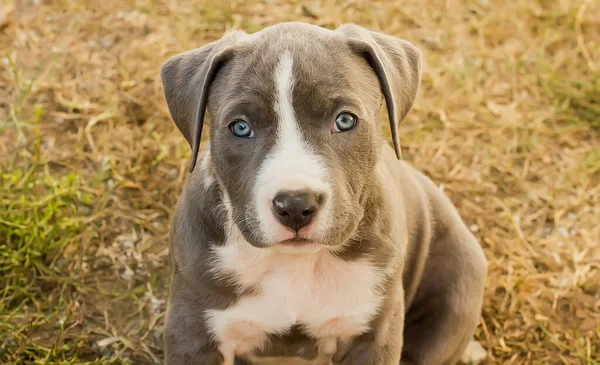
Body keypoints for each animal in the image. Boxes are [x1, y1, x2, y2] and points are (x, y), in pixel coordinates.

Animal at [159, 21, 488, 362]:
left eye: (345, 120)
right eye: (240, 127)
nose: (294, 204)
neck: (296, 264)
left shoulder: (374, 335)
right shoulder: (193, 332)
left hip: (457, 288)